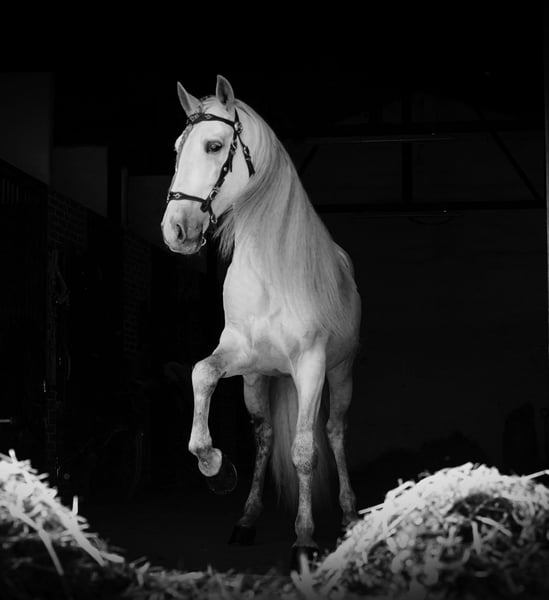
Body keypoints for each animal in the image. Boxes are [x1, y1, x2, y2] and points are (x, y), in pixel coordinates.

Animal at [161, 75, 362, 567]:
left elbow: (305, 450)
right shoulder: (239, 355)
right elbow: (201, 375)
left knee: (335, 433)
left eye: (214, 145)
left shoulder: (311, 366)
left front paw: (305, 540)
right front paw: (216, 468)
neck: (272, 270)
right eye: (177, 148)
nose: (175, 230)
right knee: (266, 437)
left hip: (340, 374)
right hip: (258, 381)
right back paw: (247, 518)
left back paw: (349, 515)